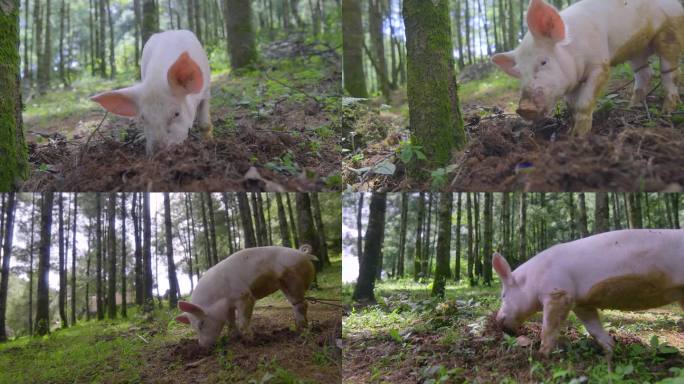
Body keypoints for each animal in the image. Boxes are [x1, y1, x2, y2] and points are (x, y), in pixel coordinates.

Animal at [175, 246, 316, 348]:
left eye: (201, 323)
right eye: (193, 327)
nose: (202, 346)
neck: (217, 297)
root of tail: (304, 254)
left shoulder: (245, 296)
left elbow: (242, 321)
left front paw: (251, 341)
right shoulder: (228, 307)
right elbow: (230, 322)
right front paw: (233, 338)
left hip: (293, 279)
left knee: (301, 303)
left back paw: (301, 329)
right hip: (284, 284)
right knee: (296, 304)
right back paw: (297, 328)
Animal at [492, 0, 684, 136]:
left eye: (543, 62)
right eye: (519, 73)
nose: (524, 108)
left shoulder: (599, 65)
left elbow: (584, 102)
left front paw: (579, 136)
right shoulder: (572, 82)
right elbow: (571, 105)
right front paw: (569, 132)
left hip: (670, 33)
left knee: (670, 73)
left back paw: (667, 111)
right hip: (637, 51)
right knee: (644, 73)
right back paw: (632, 107)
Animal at [492, 228, 684, 356]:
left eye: (503, 295)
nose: (497, 320)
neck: (533, 278)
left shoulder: (558, 293)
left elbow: (549, 328)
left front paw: (541, 355)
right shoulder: (581, 303)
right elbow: (593, 328)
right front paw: (610, 352)